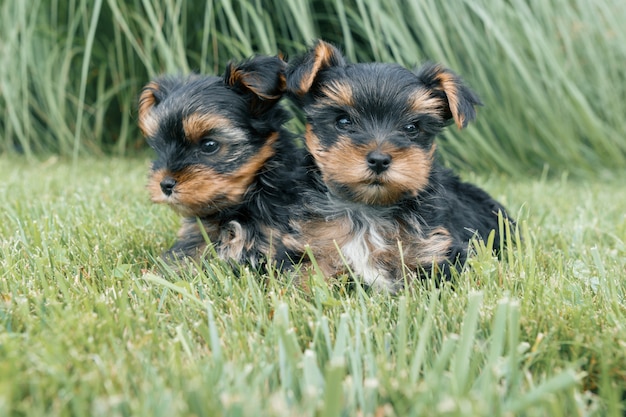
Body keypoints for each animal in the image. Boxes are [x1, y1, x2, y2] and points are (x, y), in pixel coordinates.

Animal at [286, 40, 510, 290]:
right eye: (343, 121)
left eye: (411, 128)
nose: (379, 160)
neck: (368, 209)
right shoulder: (314, 245)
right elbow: (307, 280)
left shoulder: (436, 250)